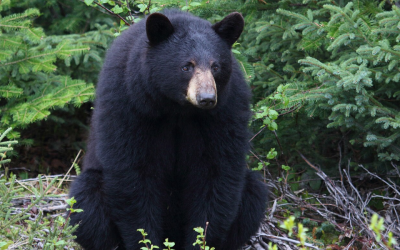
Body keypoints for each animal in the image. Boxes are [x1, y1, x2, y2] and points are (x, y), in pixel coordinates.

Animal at [70, 9, 268, 250]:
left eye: (216, 67)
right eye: (186, 66)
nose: (206, 98)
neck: (177, 108)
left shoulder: (226, 109)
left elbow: (217, 173)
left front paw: (200, 241)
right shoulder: (128, 101)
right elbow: (133, 174)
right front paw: (146, 242)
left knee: (253, 193)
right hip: (89, 190)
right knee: (86, 203)